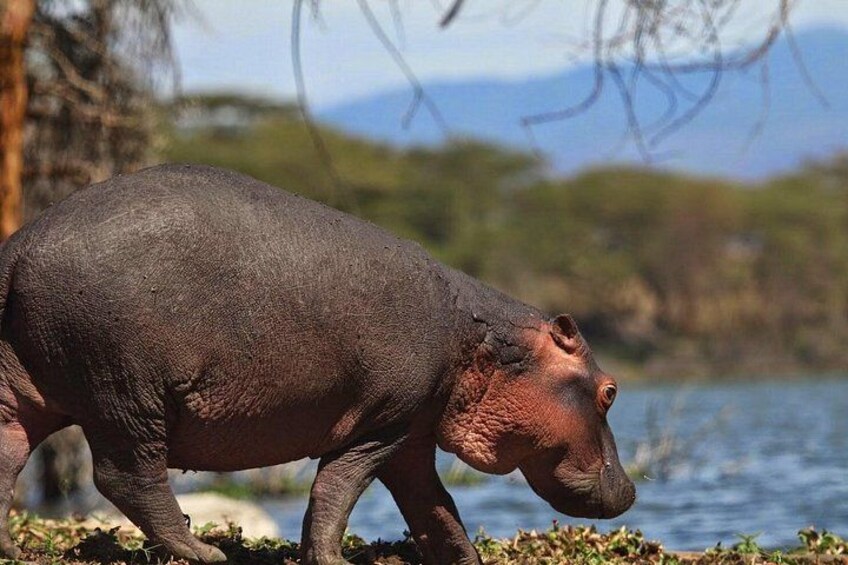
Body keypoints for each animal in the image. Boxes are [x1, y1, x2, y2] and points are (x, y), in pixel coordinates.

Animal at [0, 164, 634, 564]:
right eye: (610, 391)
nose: (630, 491)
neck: (485, 343)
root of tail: (19, 246)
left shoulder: (413, 433)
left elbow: (435, 509)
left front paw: (467, 560)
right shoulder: (384, 422)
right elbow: (336, 490)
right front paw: (329, 560)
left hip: (26, 394)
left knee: (10, 455)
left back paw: (8, 550)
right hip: (127, 394)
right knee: (127, 475)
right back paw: (205, 552)